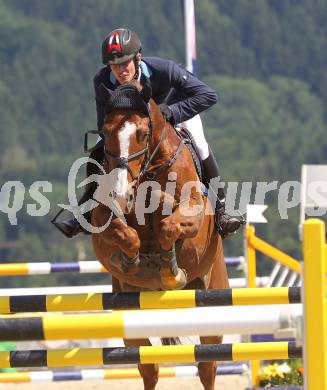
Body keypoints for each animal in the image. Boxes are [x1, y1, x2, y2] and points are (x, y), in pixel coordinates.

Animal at [89, 80, 228, 388]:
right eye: (105, 133)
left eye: (142, 134)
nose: (121, 195)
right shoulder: (102, 217)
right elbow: (125, 233)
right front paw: (132, 261)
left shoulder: (194, 214)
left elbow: (168, 226)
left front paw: (170, 270)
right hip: (129, 316)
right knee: (149, 366)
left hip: (212, 299)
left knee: (208, 364)